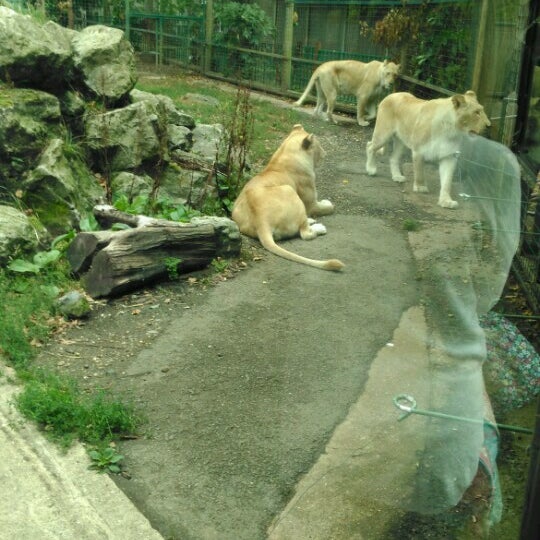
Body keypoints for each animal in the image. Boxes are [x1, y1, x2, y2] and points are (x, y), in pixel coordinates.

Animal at [231, 124, 342, 272]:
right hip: (289, 190)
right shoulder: (311, 204)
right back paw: (319, 227)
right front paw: (327, 203)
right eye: (318, 145)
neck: (284, 155)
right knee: (305, 233)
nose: (325, 154)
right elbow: (330, 207)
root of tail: (261, 222)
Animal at [364, 90, 492, 209]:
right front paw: (420, 187)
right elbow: (419, 172)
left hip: (401, 141)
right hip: (383, 134)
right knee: (370, 146)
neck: (451, 130)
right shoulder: (419, 150)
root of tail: (392, 94)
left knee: (393, 158)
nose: (489, 126)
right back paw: (371, 169)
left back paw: (397, 177)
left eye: (482, 110)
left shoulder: (449, 156)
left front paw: (446, 201)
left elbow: (447, 181)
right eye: (476, 112)